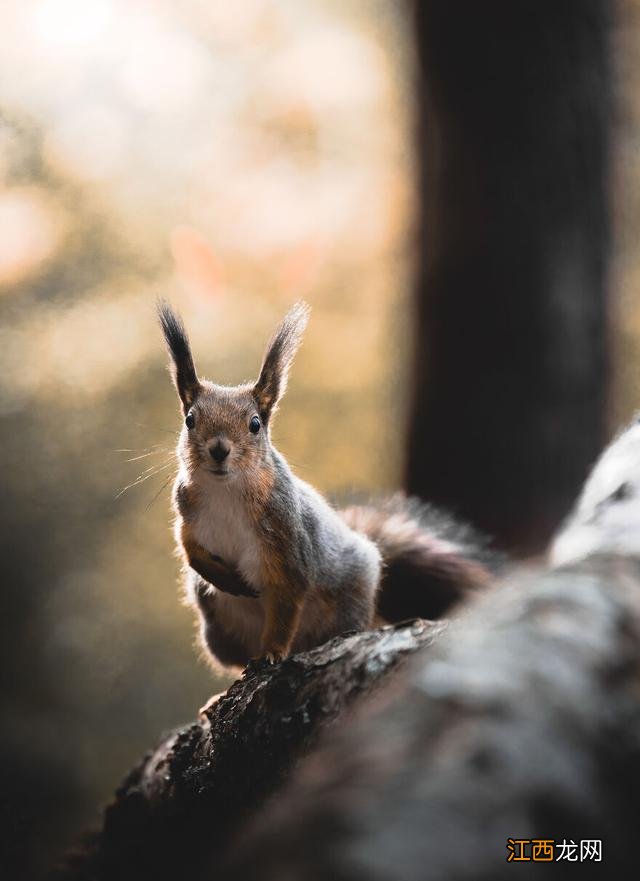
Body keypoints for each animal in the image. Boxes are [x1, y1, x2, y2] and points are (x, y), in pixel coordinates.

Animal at [158, 300, 498, 664]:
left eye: (255, 424)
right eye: (190, 420)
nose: (219, 449)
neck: (226, 490)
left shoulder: (289, 540)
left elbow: (287, 600)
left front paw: (273, 653)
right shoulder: (187, 509)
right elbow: (189, 549)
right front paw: (224, 578)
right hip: (219, 635)